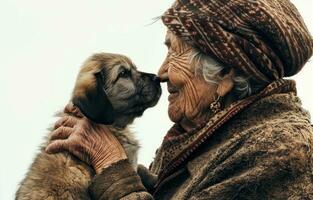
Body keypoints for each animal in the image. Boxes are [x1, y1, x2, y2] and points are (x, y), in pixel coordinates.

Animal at [14, 53, 161, 200]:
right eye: (123, 73)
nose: (157, 78)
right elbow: (138, 170)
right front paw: (155, 178)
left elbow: (141, 168)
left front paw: (154, 177)